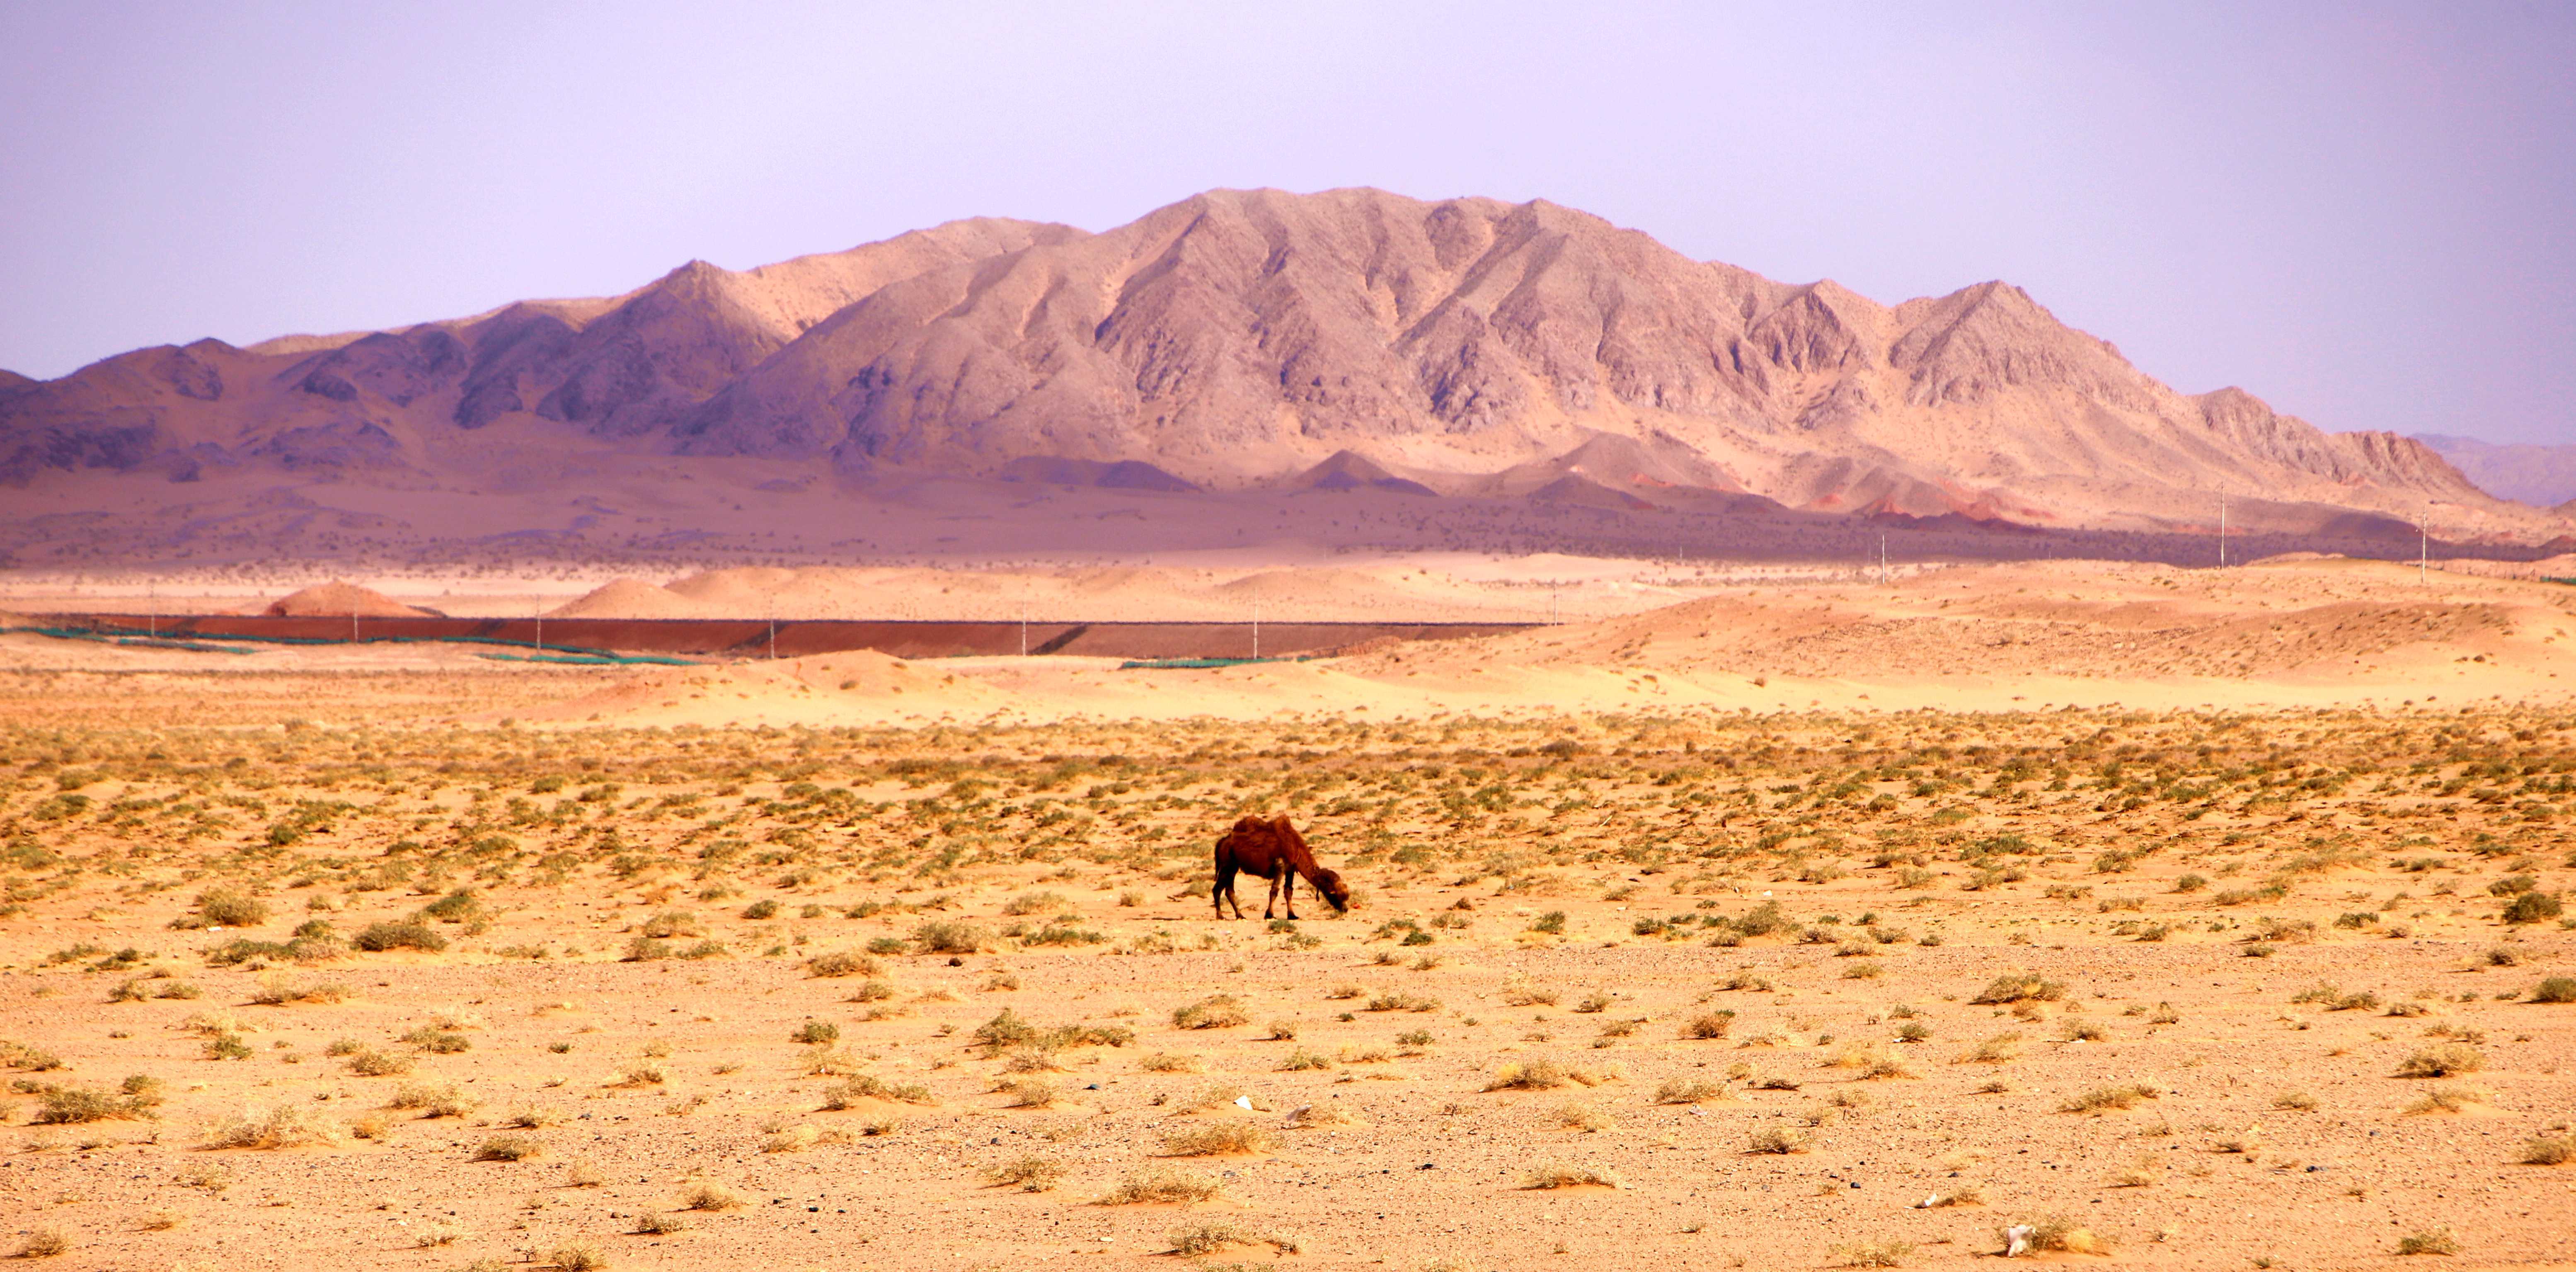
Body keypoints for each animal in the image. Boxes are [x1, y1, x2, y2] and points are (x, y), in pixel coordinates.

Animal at [1215, 819, 1360, 916]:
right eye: (1333, 894)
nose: (1345, 909)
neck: (1296, 847)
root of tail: (1222, 842)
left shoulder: (1291, 869)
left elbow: (1289, 891)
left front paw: (1292, 915)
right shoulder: (1280, 865)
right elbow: (1275, 890)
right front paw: (1269, 915)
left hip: (1233, 867)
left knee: (1228, 891)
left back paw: (1239, 915)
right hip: (1227, 865)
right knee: (1218, 889)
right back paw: (1222, 916)